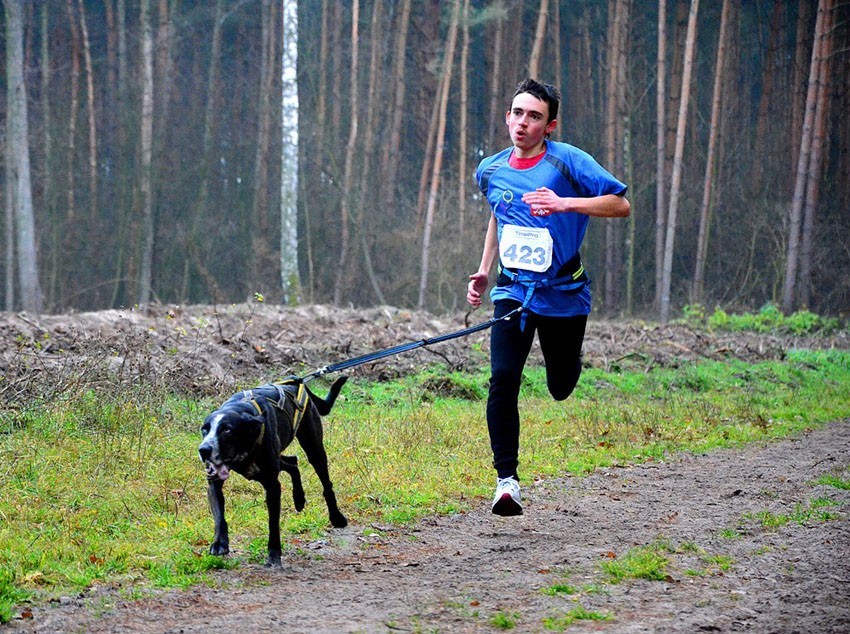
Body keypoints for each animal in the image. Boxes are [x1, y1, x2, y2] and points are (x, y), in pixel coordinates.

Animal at [199, 376, 348, 564]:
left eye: (226, 429)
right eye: (205, 429)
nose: (203, 450)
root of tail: (295, 381)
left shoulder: (272, 485)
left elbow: (273, 522)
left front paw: (274, 553)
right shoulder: (214, 483)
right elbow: (219, 516)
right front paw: (220, 543)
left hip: (314, 449)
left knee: (325, 483)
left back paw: (336, 517)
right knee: (292, 462)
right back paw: (299, 498)